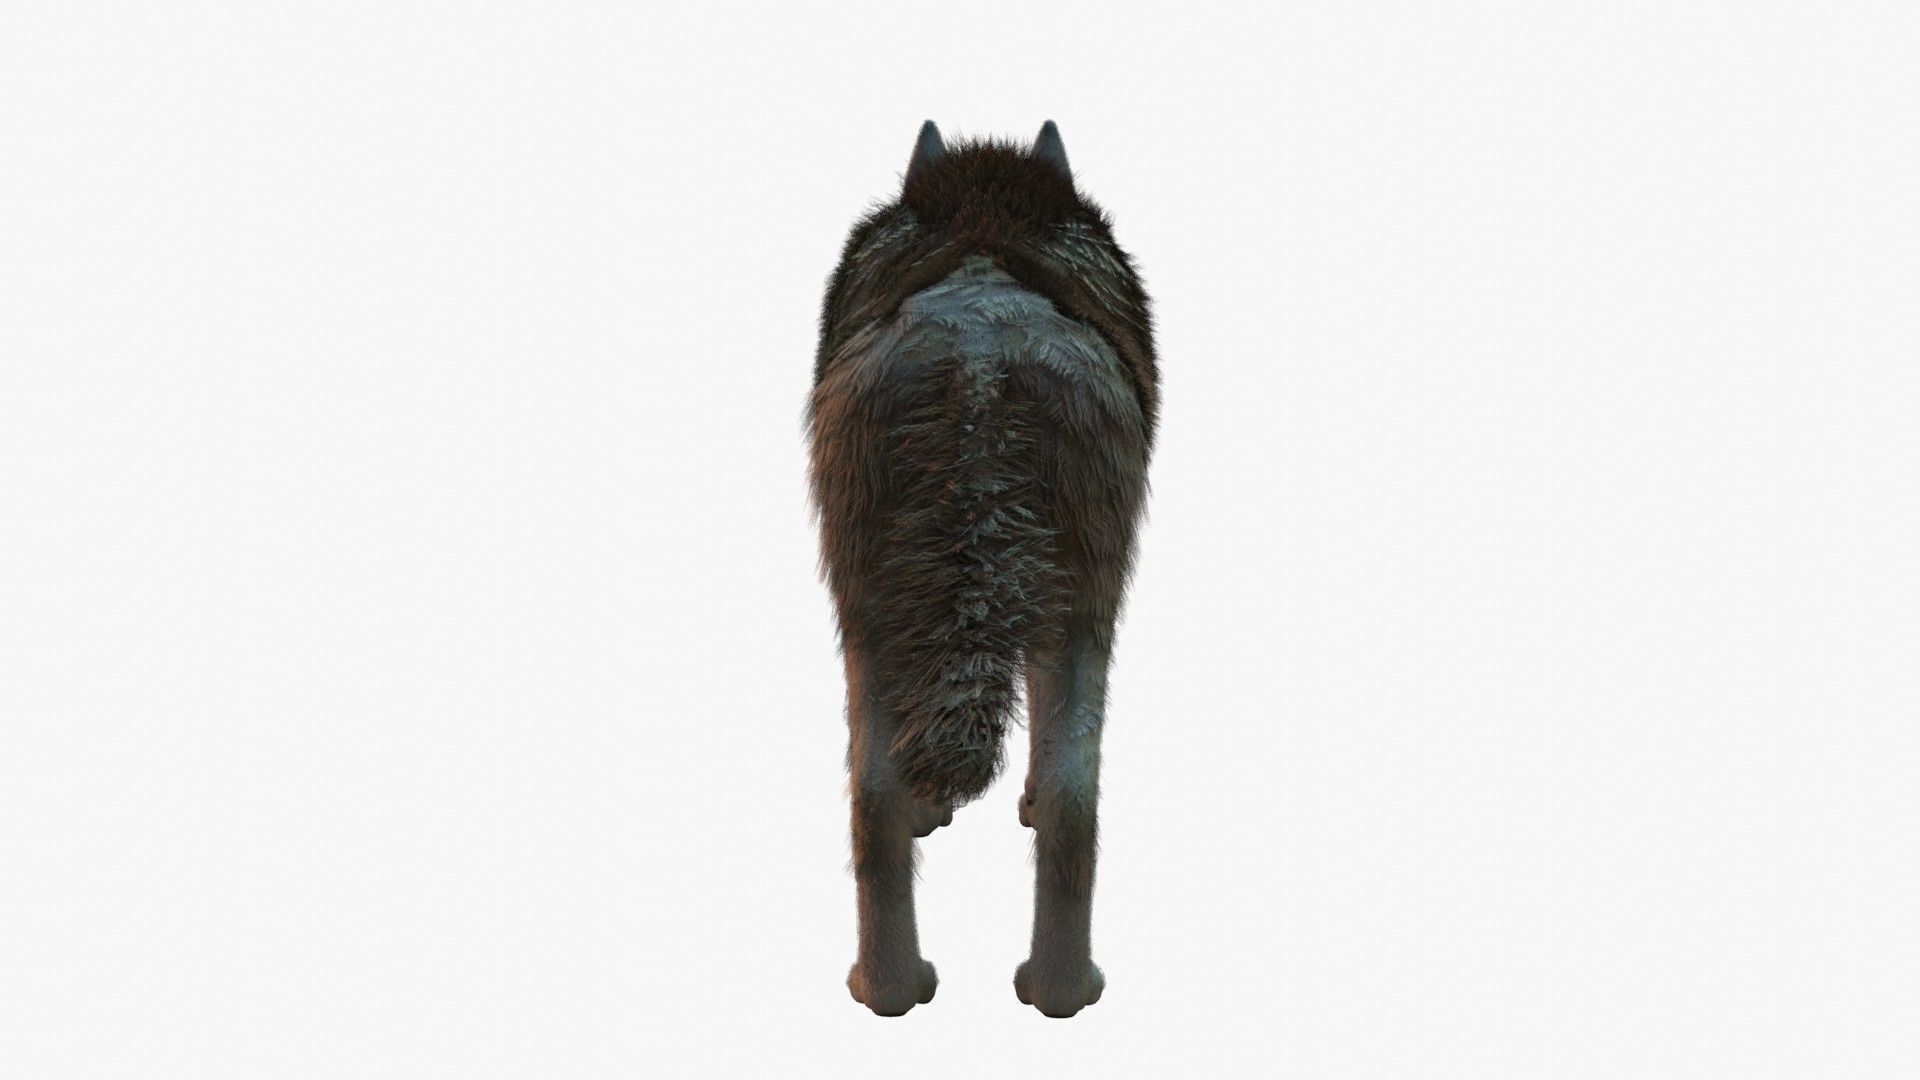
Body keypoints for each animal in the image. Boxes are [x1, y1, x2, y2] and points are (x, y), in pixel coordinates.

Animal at [807, 121, 1157, 1017]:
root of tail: (980, 359)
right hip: (1083, 602)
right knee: (1068, 795)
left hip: (872, 604)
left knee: (876, 795)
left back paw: (905, 993)